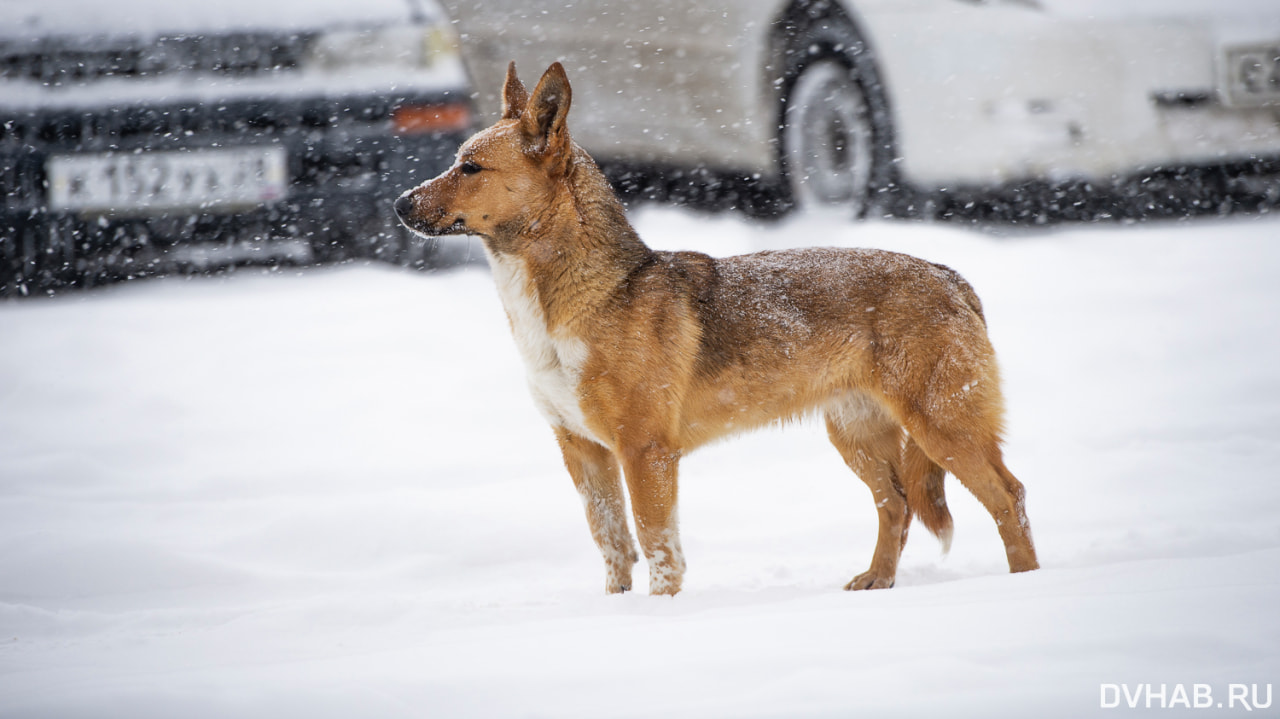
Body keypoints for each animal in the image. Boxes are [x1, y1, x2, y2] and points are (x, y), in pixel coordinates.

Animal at [394, 61, 1034, 591]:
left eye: (470, 167)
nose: (399, 205)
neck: (576, 300)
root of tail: (952, 278)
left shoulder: (646, 453)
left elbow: (658, 549)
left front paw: (662, 614)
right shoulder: (582, 452)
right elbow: (612, 546)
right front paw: (619, 613)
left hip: (942, 425)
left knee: (1009, 496)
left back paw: (1024, 584)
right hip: (857, 434)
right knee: (895, 506)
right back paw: (878, 580)